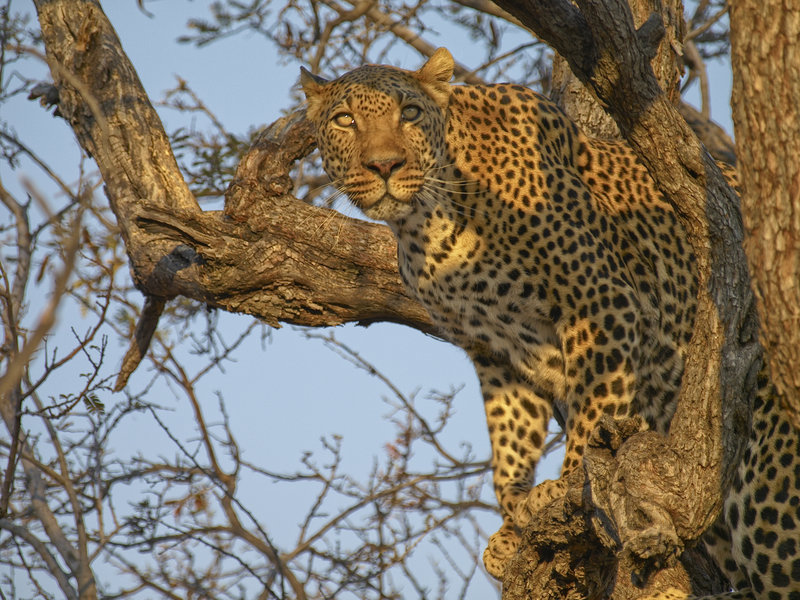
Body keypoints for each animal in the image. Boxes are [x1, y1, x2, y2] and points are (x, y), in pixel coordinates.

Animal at [300, 47, 800, 597]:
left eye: (408, 113)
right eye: (345, 120)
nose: (385, 165)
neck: (426, 223)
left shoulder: (603, 302)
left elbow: (593, 410)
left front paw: (565, 488)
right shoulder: (495, 350)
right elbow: (509, 440)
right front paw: (514, 524)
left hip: (767, 494)